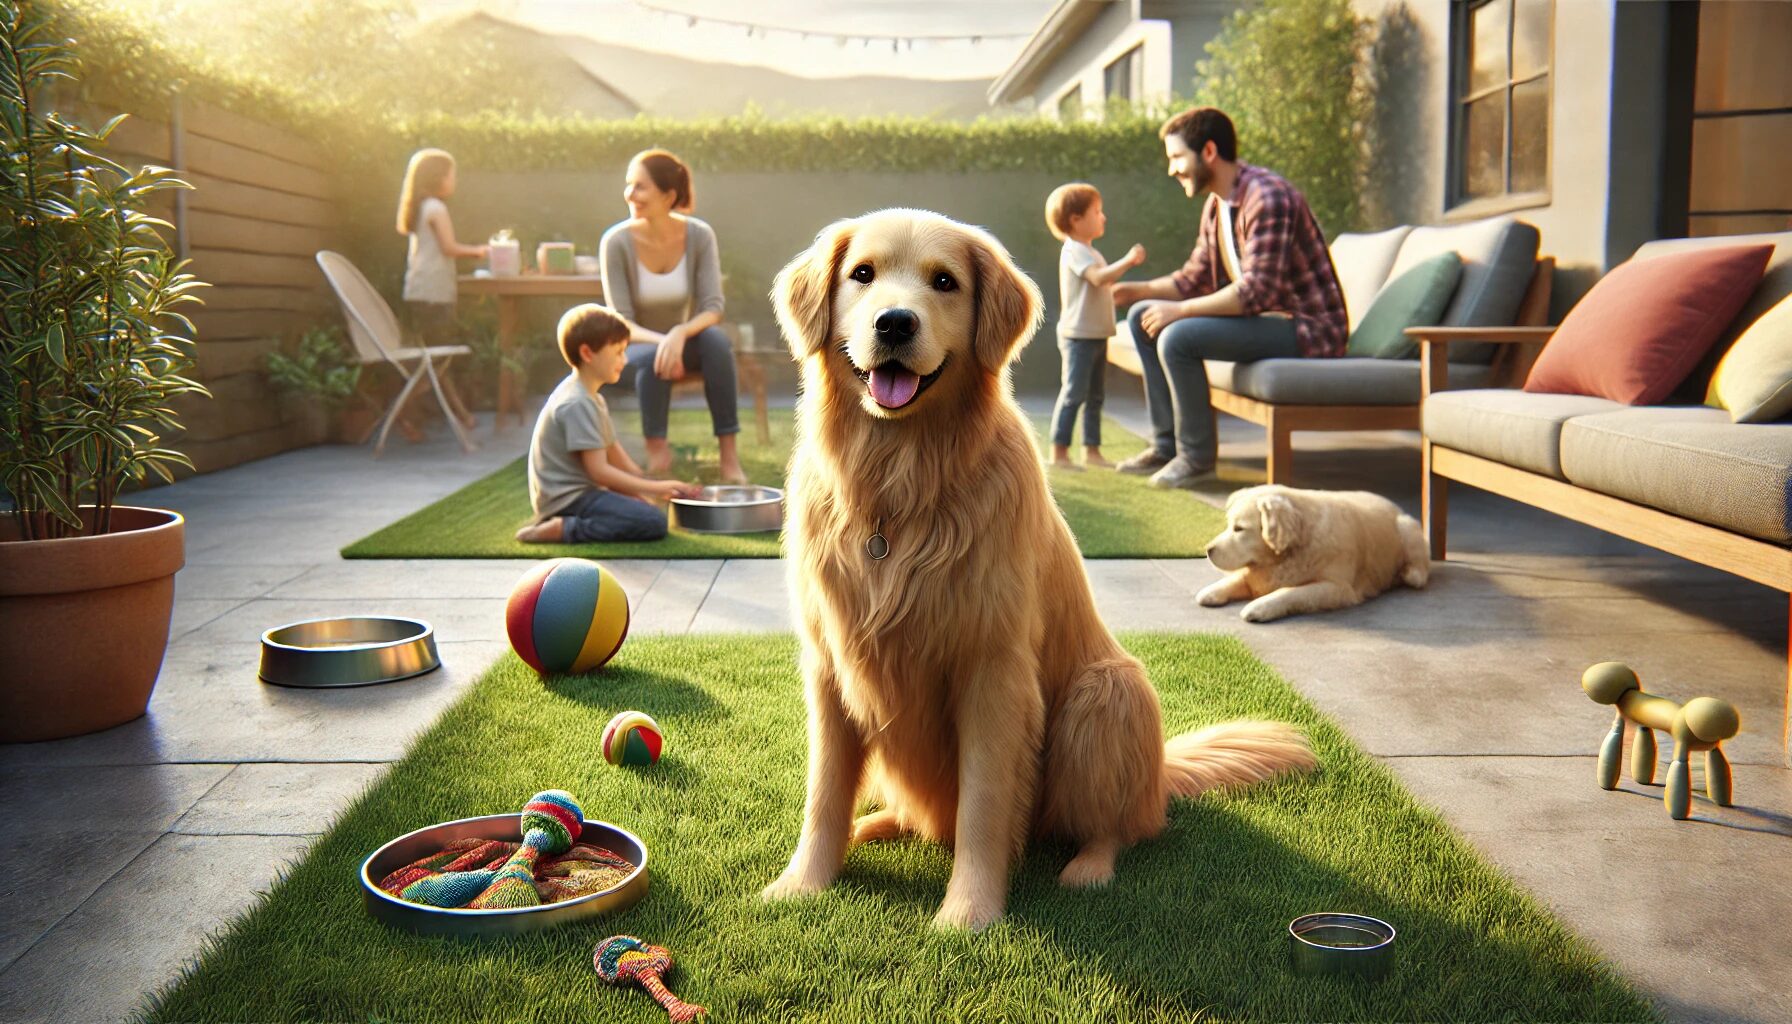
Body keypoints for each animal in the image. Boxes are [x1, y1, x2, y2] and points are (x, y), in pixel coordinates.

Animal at [1197, 484, 1433, 620]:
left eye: (1239, 529)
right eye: (1228, 525)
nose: (1208, 550)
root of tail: (1395, 505)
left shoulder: (1337, 588)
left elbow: (1290, 591)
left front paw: (1259, 606)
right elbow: (1238, 579)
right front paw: (1211, 591)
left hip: (1407, 528)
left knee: (1420, 568)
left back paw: (1409, 574)